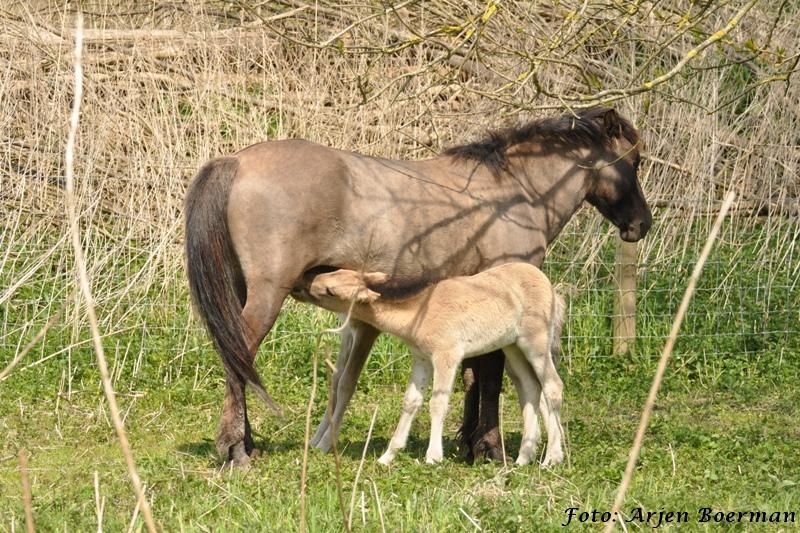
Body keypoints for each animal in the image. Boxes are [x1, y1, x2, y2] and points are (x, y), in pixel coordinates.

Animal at [186, 106, 648, 464]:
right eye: (636, 160)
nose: (641, 225)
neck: (513, 193)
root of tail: (237, 161)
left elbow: (473, 374)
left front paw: (468, 444)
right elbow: (491, 375)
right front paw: (489, 447)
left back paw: (246, 443)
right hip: (266, 296)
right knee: (239, 355)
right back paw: (235, 448)